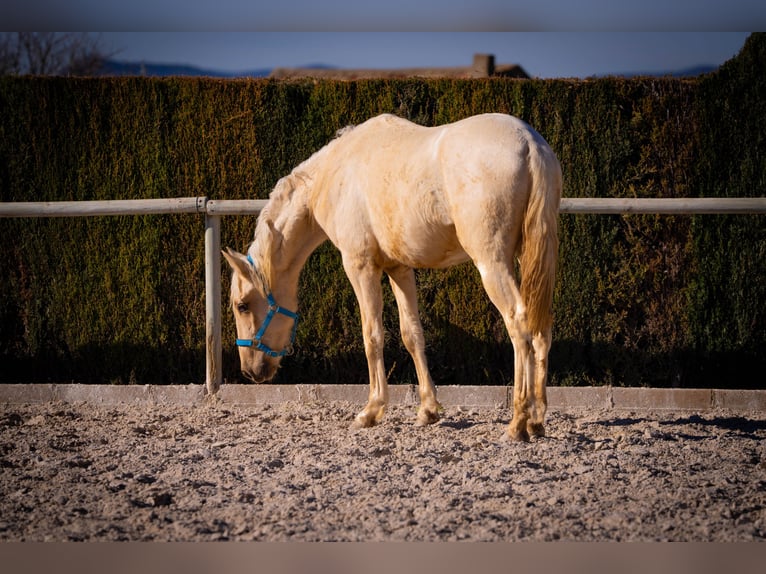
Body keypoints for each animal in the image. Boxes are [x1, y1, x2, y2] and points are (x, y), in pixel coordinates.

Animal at [222, 115, 564, 444]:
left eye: (242, 305)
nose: (250, 370)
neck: (334, 173)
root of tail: (530, 145)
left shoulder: (360, 266)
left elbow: (372, 336)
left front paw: (371, 410)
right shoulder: (399, 269)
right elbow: (412, 334)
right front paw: (428, 410)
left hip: (492, 263)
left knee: (518, 324)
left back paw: (518, 423)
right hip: (531, 259)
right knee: (541, 327)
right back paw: (537, 421)